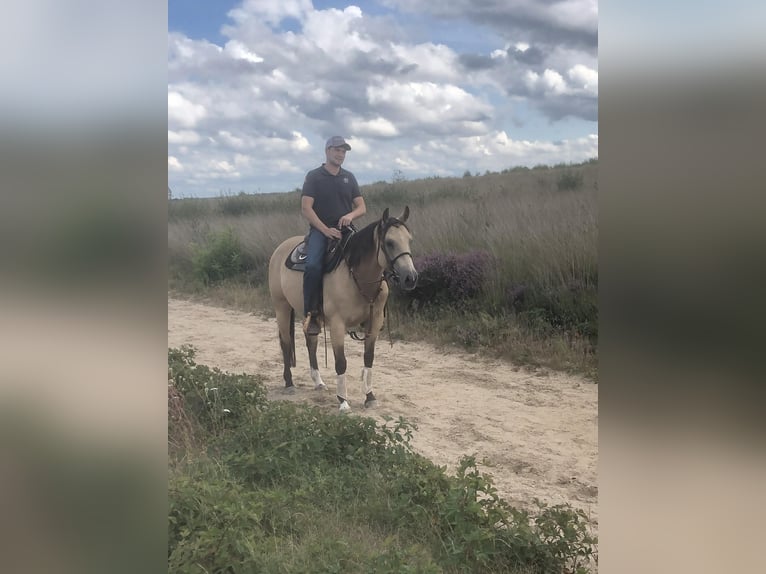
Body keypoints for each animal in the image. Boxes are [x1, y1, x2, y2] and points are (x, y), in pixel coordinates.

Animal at [267, 207, 418, 412]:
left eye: (409, 240)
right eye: (389, 242)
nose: (410, 278)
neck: (357, 276)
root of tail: (280, 248)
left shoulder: (374, 322)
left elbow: (368, 358)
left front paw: (370, 397)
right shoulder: (337, 324)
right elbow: (341, 362)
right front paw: (343, 401)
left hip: (309, 314)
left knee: (310, 341)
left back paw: (318, 381)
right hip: (281, 306)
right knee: (285, 342)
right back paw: (289, 383)